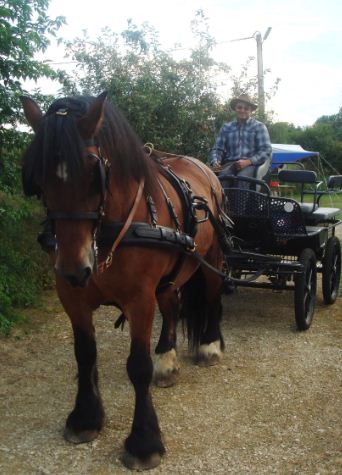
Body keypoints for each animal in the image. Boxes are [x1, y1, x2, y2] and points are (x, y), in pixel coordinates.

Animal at [20, 91, 224, 470]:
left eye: (93, 174)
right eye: (37, 178)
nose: (74, 268)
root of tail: (207, 170)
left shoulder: (139, 299)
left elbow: (137, 366)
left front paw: (144, 442)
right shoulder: (71, 295)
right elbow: (85, 354)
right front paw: (85, 419)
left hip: (212, 259)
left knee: (212, 298)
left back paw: (209, 345)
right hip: (170, 276)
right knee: (172, 306)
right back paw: (167, 360)